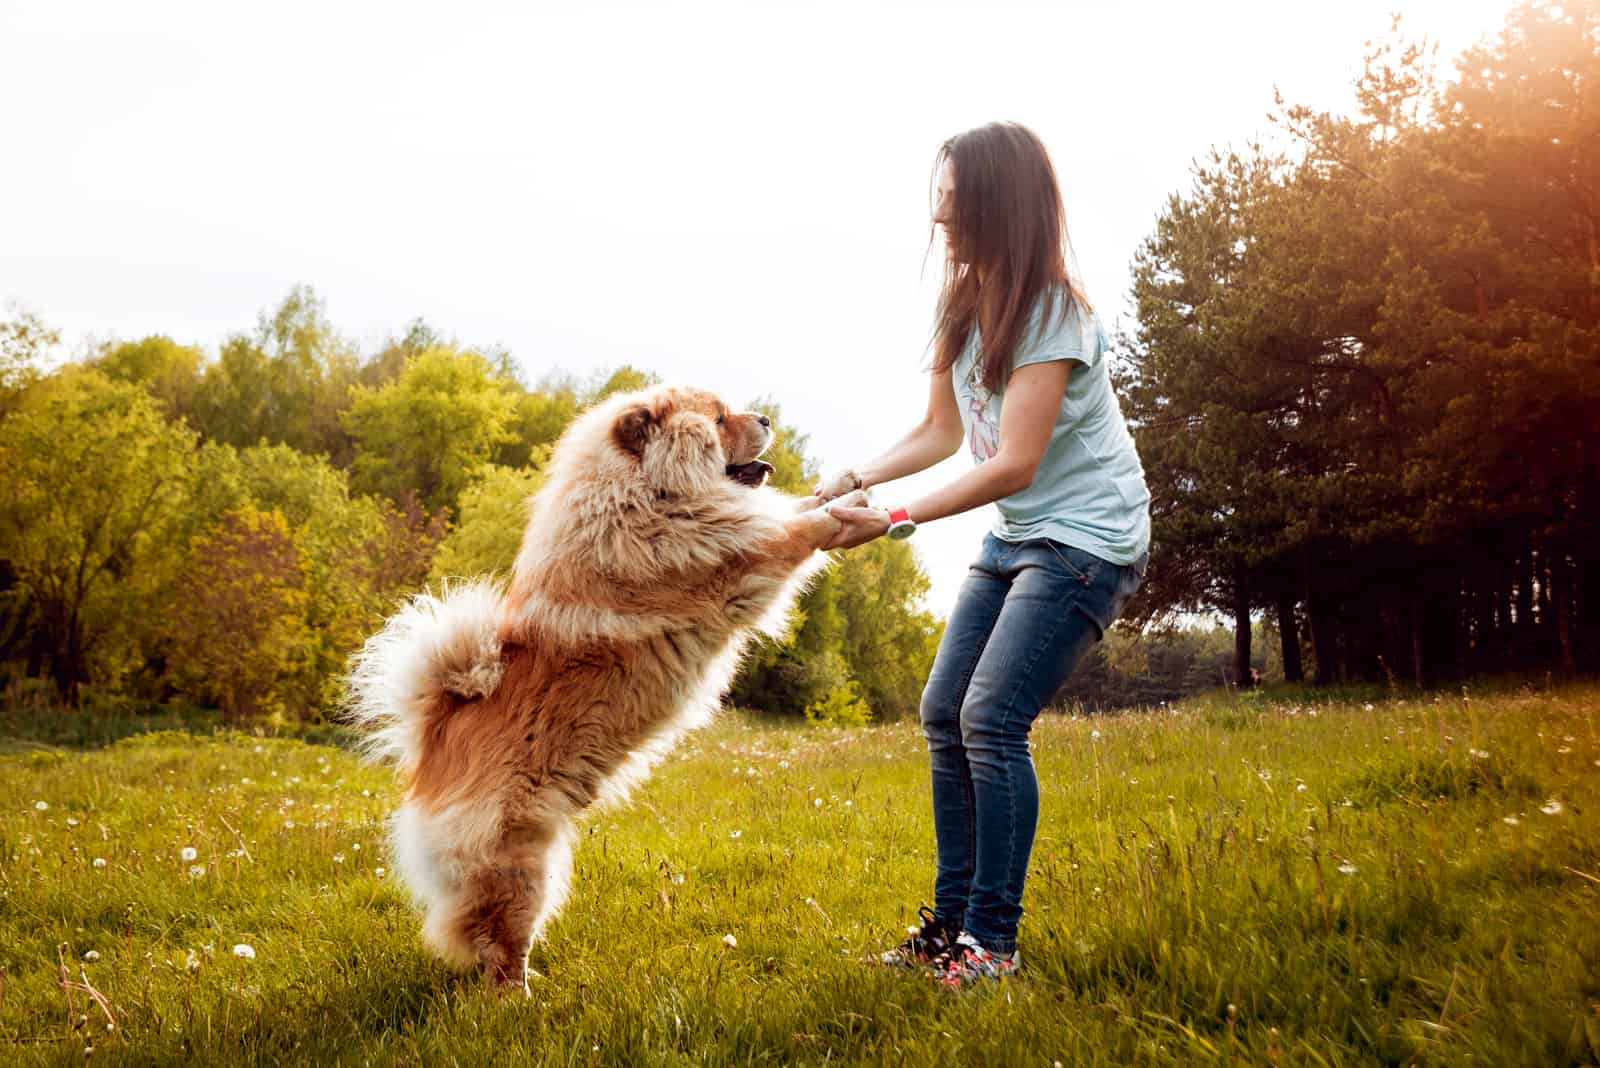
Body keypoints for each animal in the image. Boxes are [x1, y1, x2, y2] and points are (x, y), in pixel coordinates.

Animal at [345, 383, 857, 991]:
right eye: (717, 419)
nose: (765, 418)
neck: (645, 494)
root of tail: (435, 741)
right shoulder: (733, 558)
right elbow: (794, 530)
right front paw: (852, 514)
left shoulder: (736, 524)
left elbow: (787, 507)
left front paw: (845, 483)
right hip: (520, 867)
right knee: (499, 944)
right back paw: (520, 998)